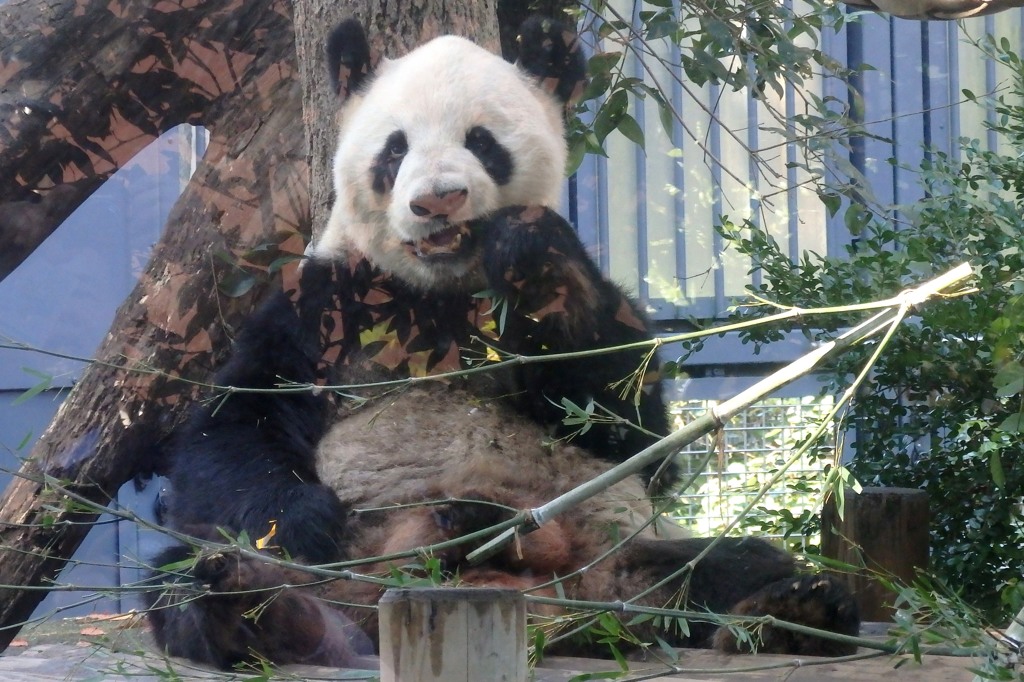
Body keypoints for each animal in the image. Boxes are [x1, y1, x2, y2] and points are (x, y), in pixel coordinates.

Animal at [144, 17, 860, 667]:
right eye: (395, 150)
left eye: (482, 141)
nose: (438, 200)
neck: (438, 294)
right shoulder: (322, 308)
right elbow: (233, 427)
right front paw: (305, 516)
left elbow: (635, 435)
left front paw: (537, 263)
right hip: (341, 568)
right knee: (183, 576)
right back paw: (253, 605)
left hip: (623, 548)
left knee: (728, 564)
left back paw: (794, 613)